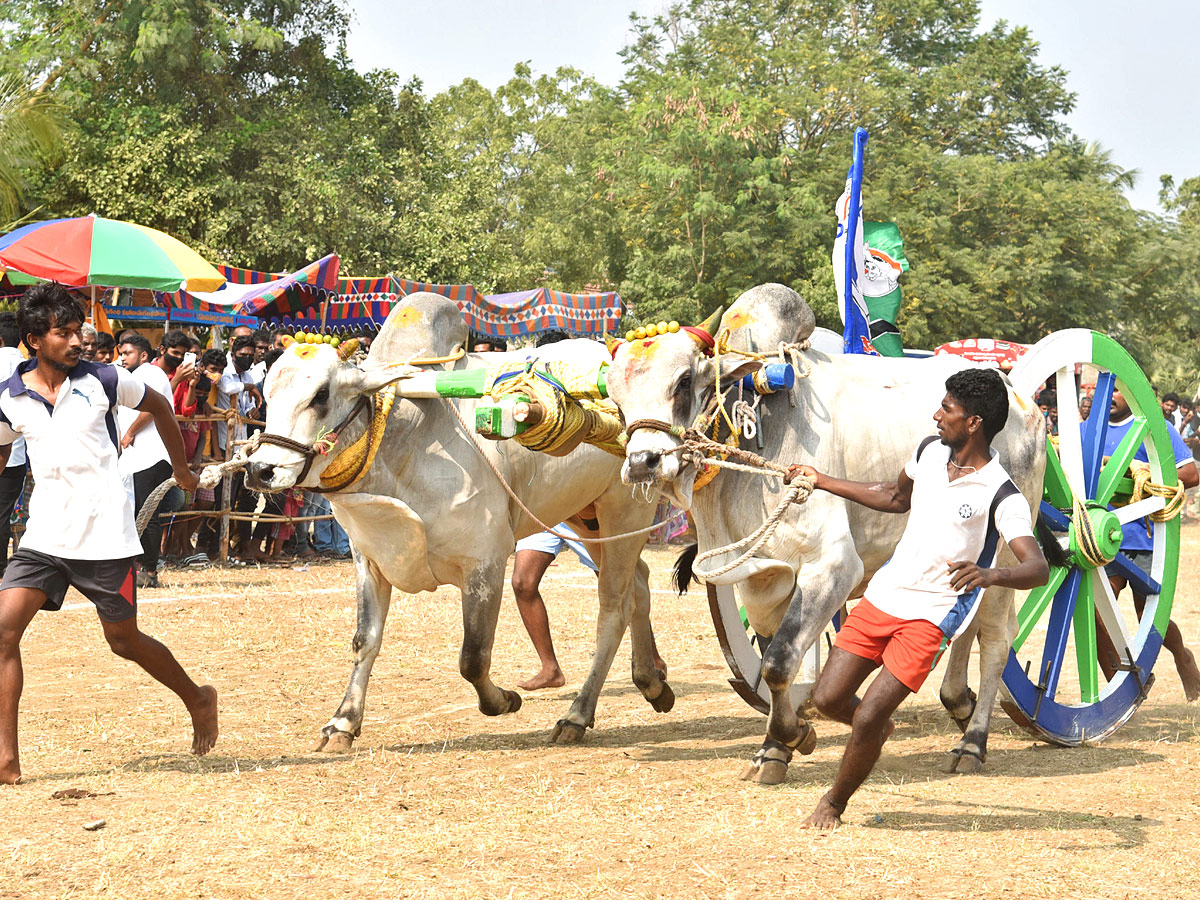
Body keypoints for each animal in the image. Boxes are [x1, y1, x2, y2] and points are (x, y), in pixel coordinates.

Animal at [243, 297, 667, 753]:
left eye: (320, 395)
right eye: (267, 392)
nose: (261, 470)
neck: (405, 443)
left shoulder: (486, 562)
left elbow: (473, 657)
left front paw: (504, 701)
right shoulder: (369, 559)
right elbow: (365, 640)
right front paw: (342, 722)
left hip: (626, 507)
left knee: (614, 607)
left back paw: (578, 714)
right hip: (586, 517)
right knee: (639, 583)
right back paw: (652, 681)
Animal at [604, 292, 1046, 787]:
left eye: (682, 381)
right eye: (613, 394)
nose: (642, 462)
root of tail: (1022, 400)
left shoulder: (833, 565)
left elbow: (779, 660)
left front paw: (790, 737)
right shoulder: (761, 576)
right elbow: (776, 656)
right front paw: (780, 744)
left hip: (1006, 551)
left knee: (996, 638)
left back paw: (973, 740)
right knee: (967, 624)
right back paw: (959, 703)